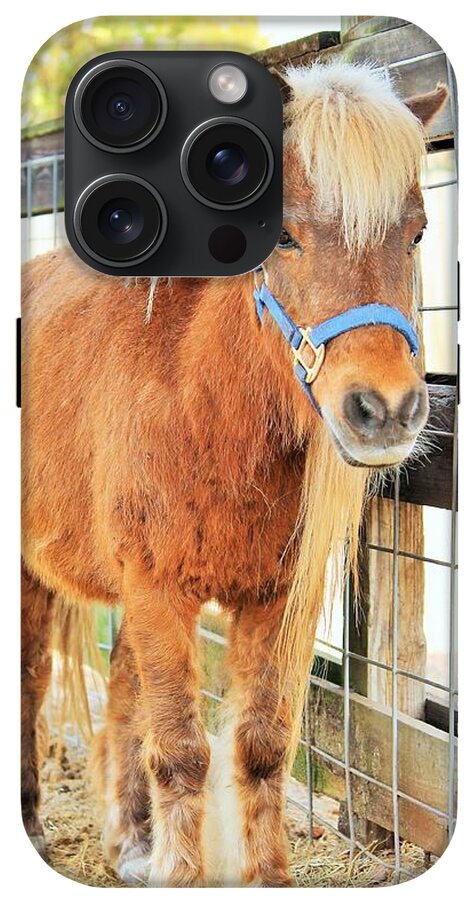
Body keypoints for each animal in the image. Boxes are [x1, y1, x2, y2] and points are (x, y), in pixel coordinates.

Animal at [21, 61, 447, 886]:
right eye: (283, 235)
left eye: (417, 232)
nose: (385, 409)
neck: (203, 402)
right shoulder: (157, 590)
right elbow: (183, 754)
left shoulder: (272, 599)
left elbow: (260, 747)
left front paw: (263, 875)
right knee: (31, 683)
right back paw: (32, 822)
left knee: (122, 693)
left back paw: (130, 843)